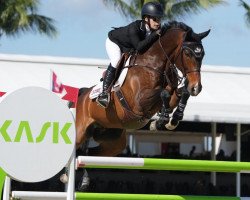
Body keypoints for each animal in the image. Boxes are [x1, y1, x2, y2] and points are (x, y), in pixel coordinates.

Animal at [75, 21, 210, 157]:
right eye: (187, 54)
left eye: (203, 55)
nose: (196, 88)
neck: (154, 64)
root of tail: (82, 96)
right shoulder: (138, 103)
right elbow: (164, 93)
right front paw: (161, 121)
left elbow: (182, 94)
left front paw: (174, 118)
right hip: (79, 132)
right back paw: (103, 98)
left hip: (113, 138)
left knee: (89, 152)